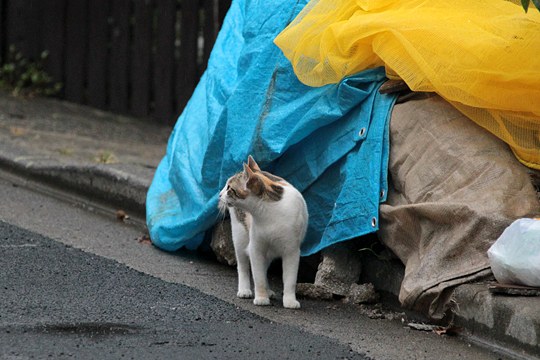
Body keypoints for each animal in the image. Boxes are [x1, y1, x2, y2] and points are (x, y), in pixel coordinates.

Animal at [217, 156, 306, 308]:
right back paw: (244, 289)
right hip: (240, 237)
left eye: (229, 188)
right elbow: (258, 277)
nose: (219, 194)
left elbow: (290, 279)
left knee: (264, 269)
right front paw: (261, 297)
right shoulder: (255, 248)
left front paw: (289, 300)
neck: (268, 212)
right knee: (243, 266)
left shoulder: (292, 251)